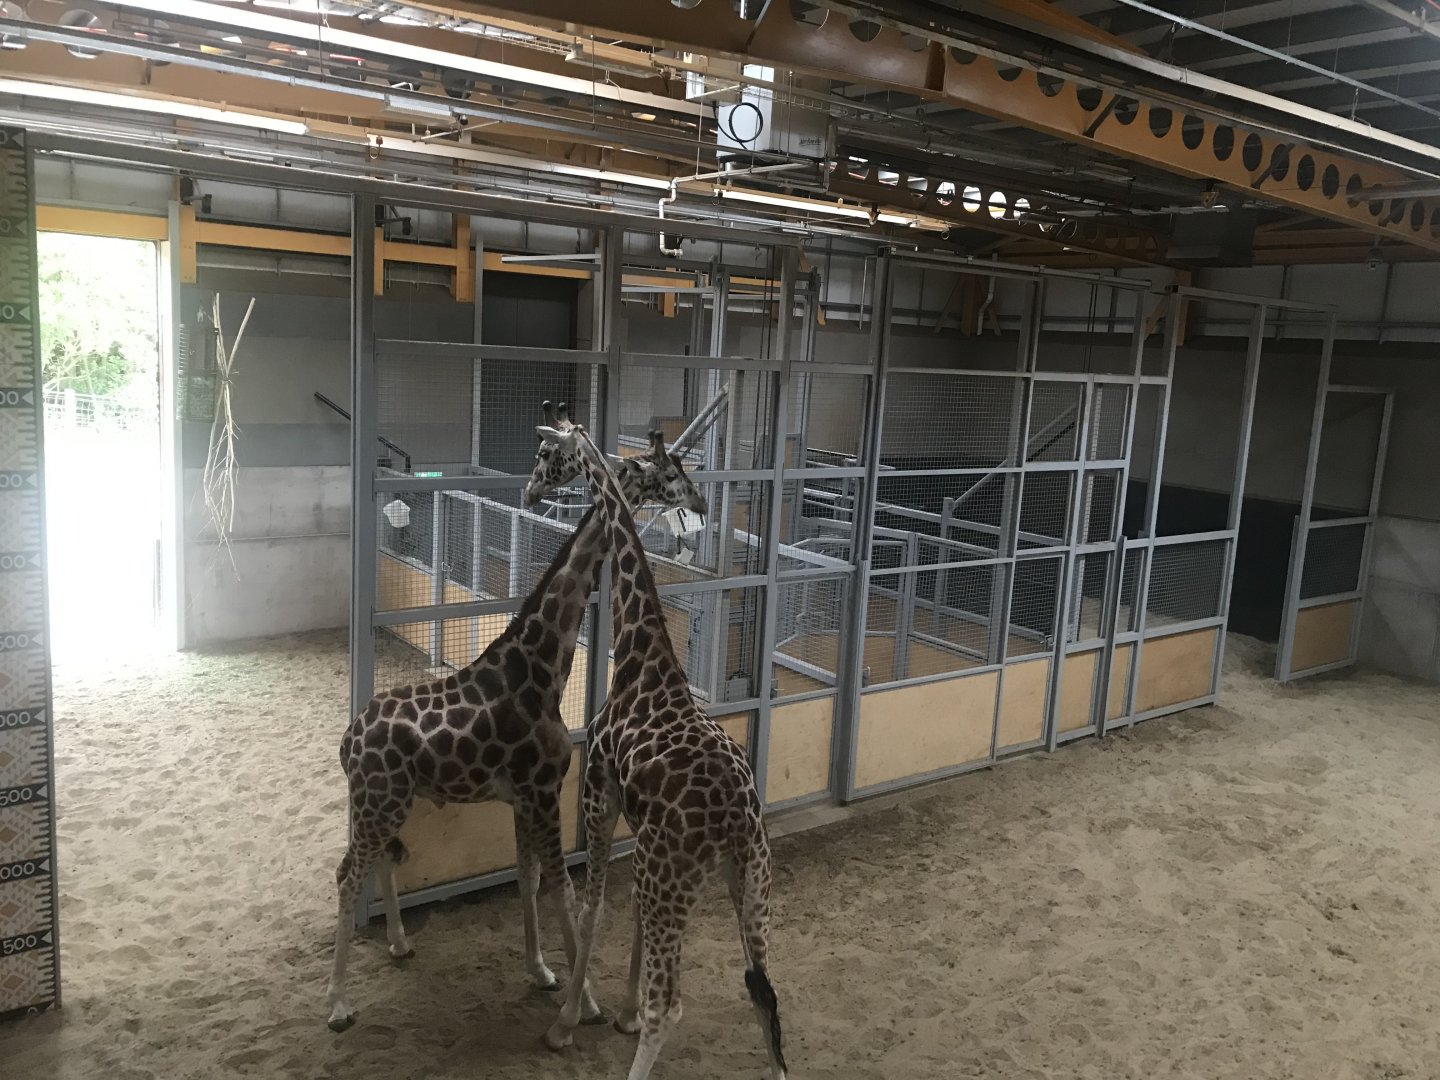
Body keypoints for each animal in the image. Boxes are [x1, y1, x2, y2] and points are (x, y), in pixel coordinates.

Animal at [325, 404, 707, 1033]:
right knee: (346, 873)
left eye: (546, 455)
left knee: (376, 860)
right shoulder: (544, 790)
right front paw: (587, 1002)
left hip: (387, 801)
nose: (699, 501)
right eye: (669, 471)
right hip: (380, 800)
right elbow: (563, 888)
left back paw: (400, 943)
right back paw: (337, 1004)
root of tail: (347, 740)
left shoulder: (525, 796)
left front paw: (543, 972)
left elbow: (528, 881)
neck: (541, 665)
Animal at [532, 420, 788, 1080]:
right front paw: (614, 1012)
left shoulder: (599, 795)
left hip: (671, 876)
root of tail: (736, 824)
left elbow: (594, 907)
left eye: (549, 452)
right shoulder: (636, 824)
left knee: (669, 1007)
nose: (530, 487)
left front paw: (567, 1023)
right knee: (766, 994)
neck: (641, 648)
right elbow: (627, 920)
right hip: (751, 881)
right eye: (677, 473)